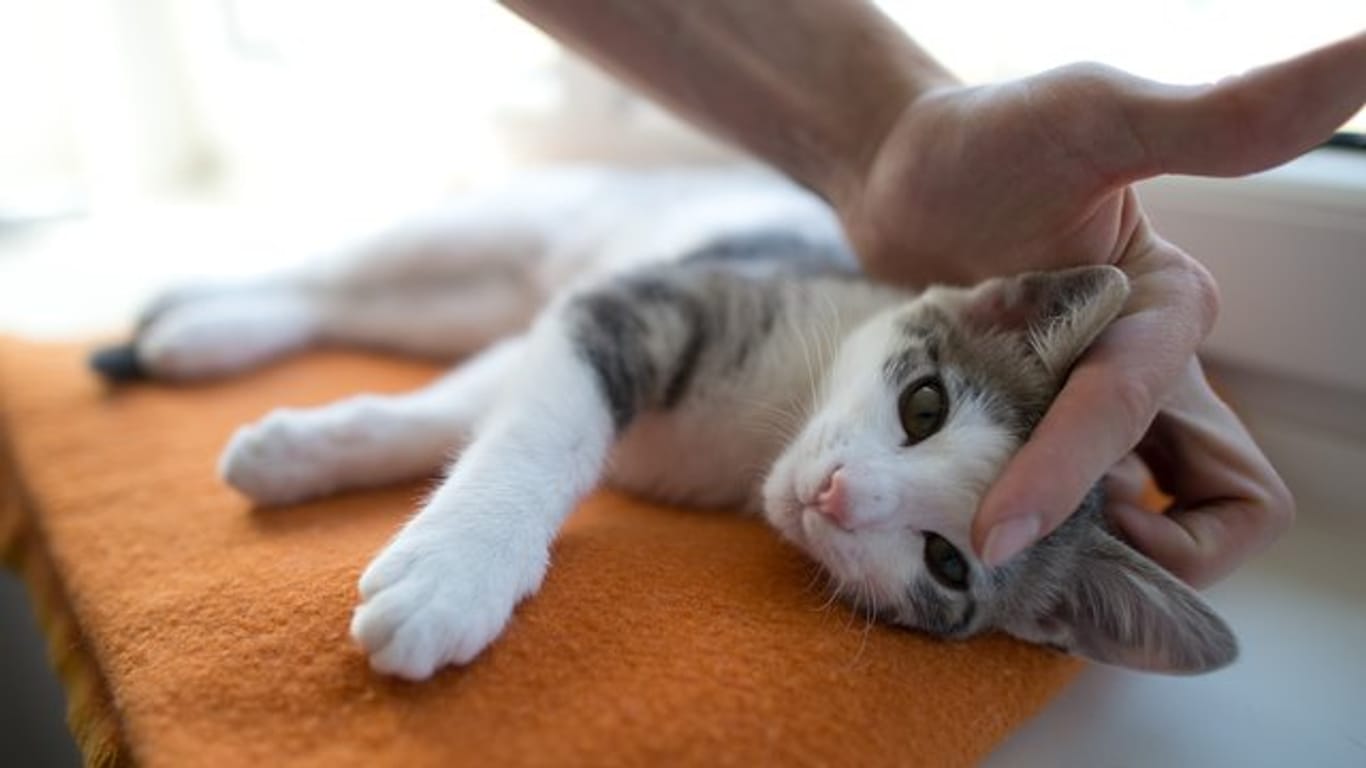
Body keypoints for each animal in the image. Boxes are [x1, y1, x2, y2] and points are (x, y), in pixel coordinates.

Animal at [93, 166, 1240, 675]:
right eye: (924, 406)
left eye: (948, 565)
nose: (837, 494)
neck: (761, 430)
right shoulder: (636, 301)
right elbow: (540, 434)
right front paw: (456, 574)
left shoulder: (563, 322)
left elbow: (462, 408)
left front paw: (303, 453)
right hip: (510, 224)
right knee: (339, 270)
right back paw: (201, 312)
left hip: (483, 293)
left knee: (369, 309)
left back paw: (203, 335)